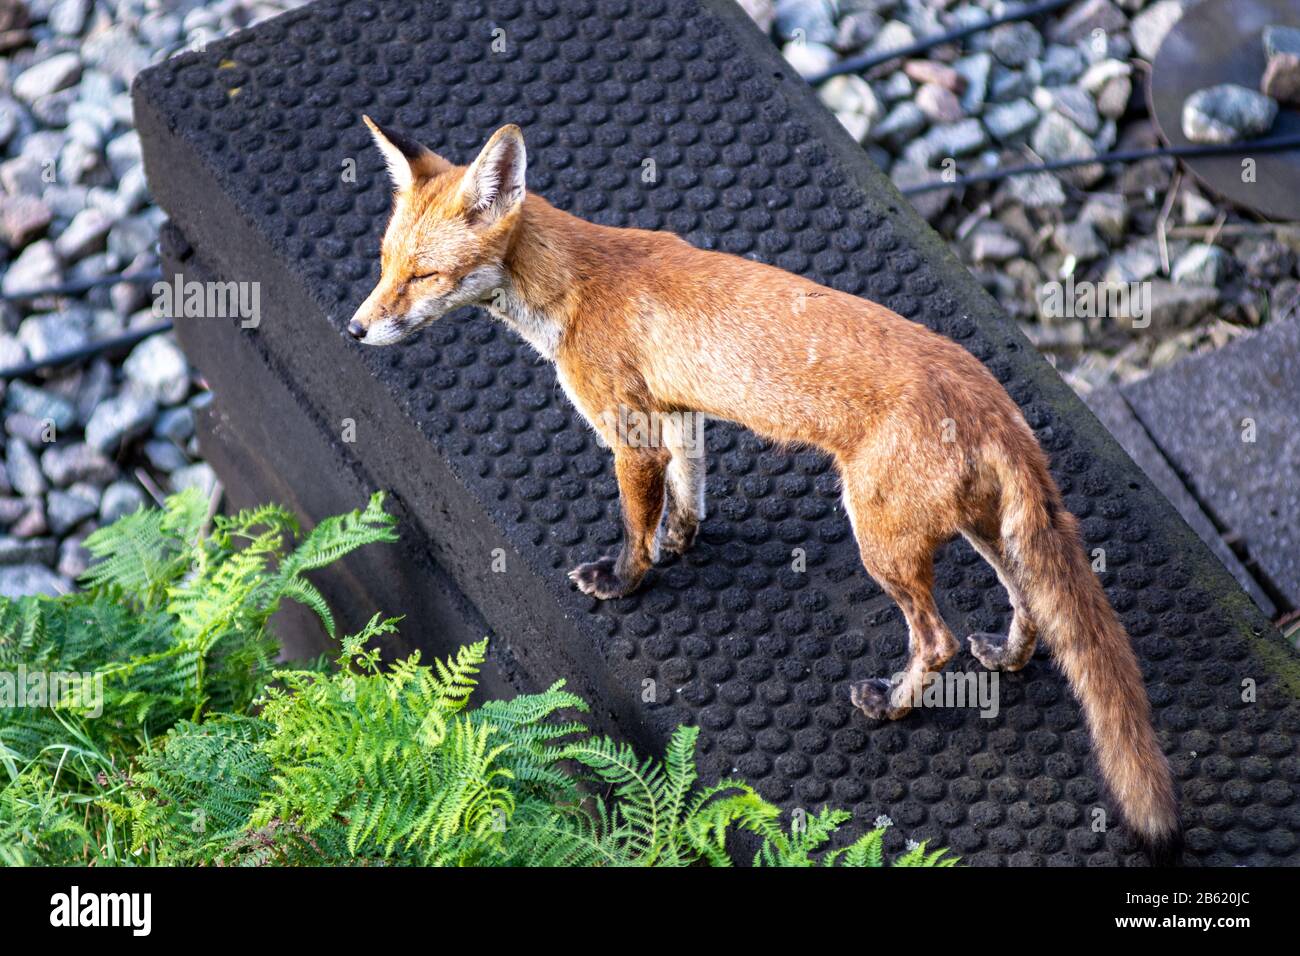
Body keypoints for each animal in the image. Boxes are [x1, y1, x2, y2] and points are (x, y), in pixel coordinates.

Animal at [348, 118, 1182, 861]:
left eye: (423, 276)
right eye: (384, 262)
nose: (355, 331)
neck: (576, 286)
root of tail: (989, 398)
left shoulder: (630, 433)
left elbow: (635, 524)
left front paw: (624, 580)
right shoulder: (678, 414)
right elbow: (688, 492)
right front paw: (681, 542)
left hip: (879, 538)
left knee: (936, 639)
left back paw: (891, 704)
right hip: (976, 529)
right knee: (1027, 600)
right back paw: (1007, 656)